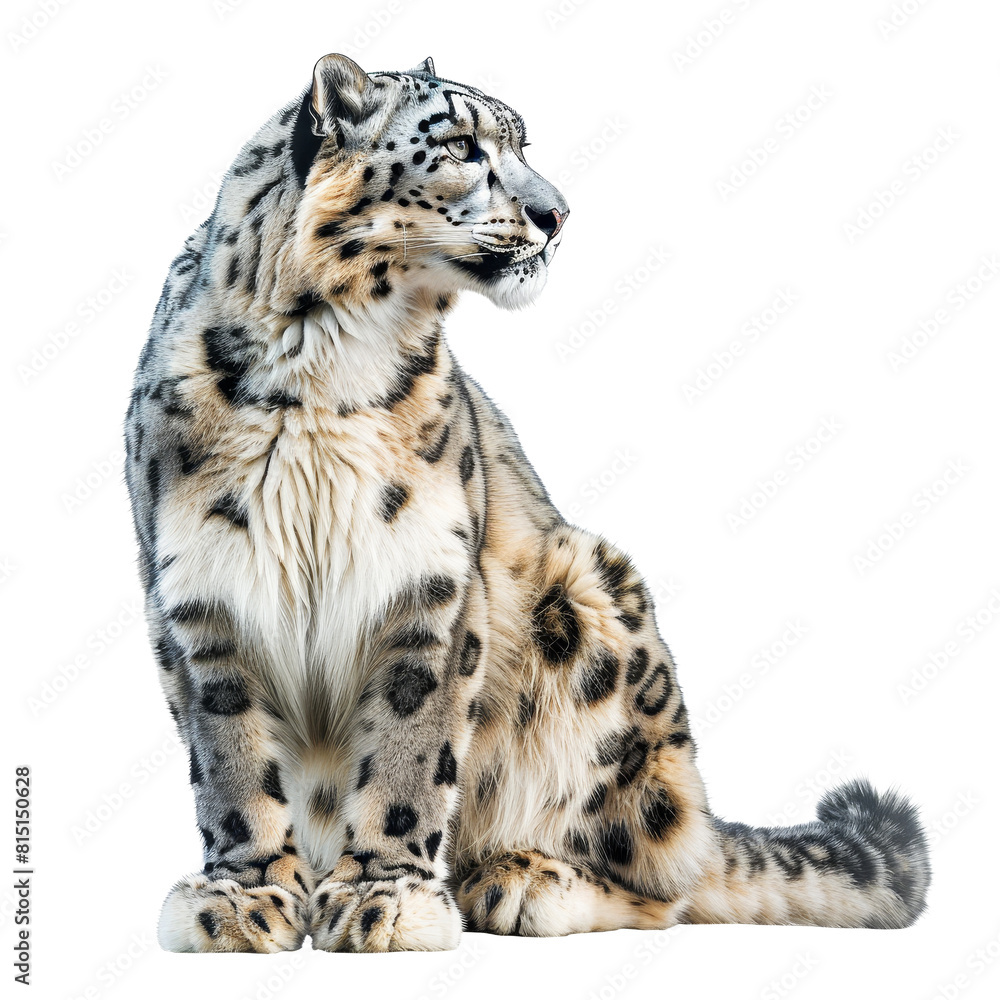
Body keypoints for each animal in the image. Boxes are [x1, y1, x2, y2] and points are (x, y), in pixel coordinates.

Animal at [124, 53, 930, 953]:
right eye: (461, 146)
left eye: (519, 144)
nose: (558, 213)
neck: (322, 363)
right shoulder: (201, 594)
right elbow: (229, 759)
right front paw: (242, 895)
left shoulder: (431, 585)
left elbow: (410, 750)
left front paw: (387, 897)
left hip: (594, 610)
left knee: (662, 878)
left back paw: (521, 878)